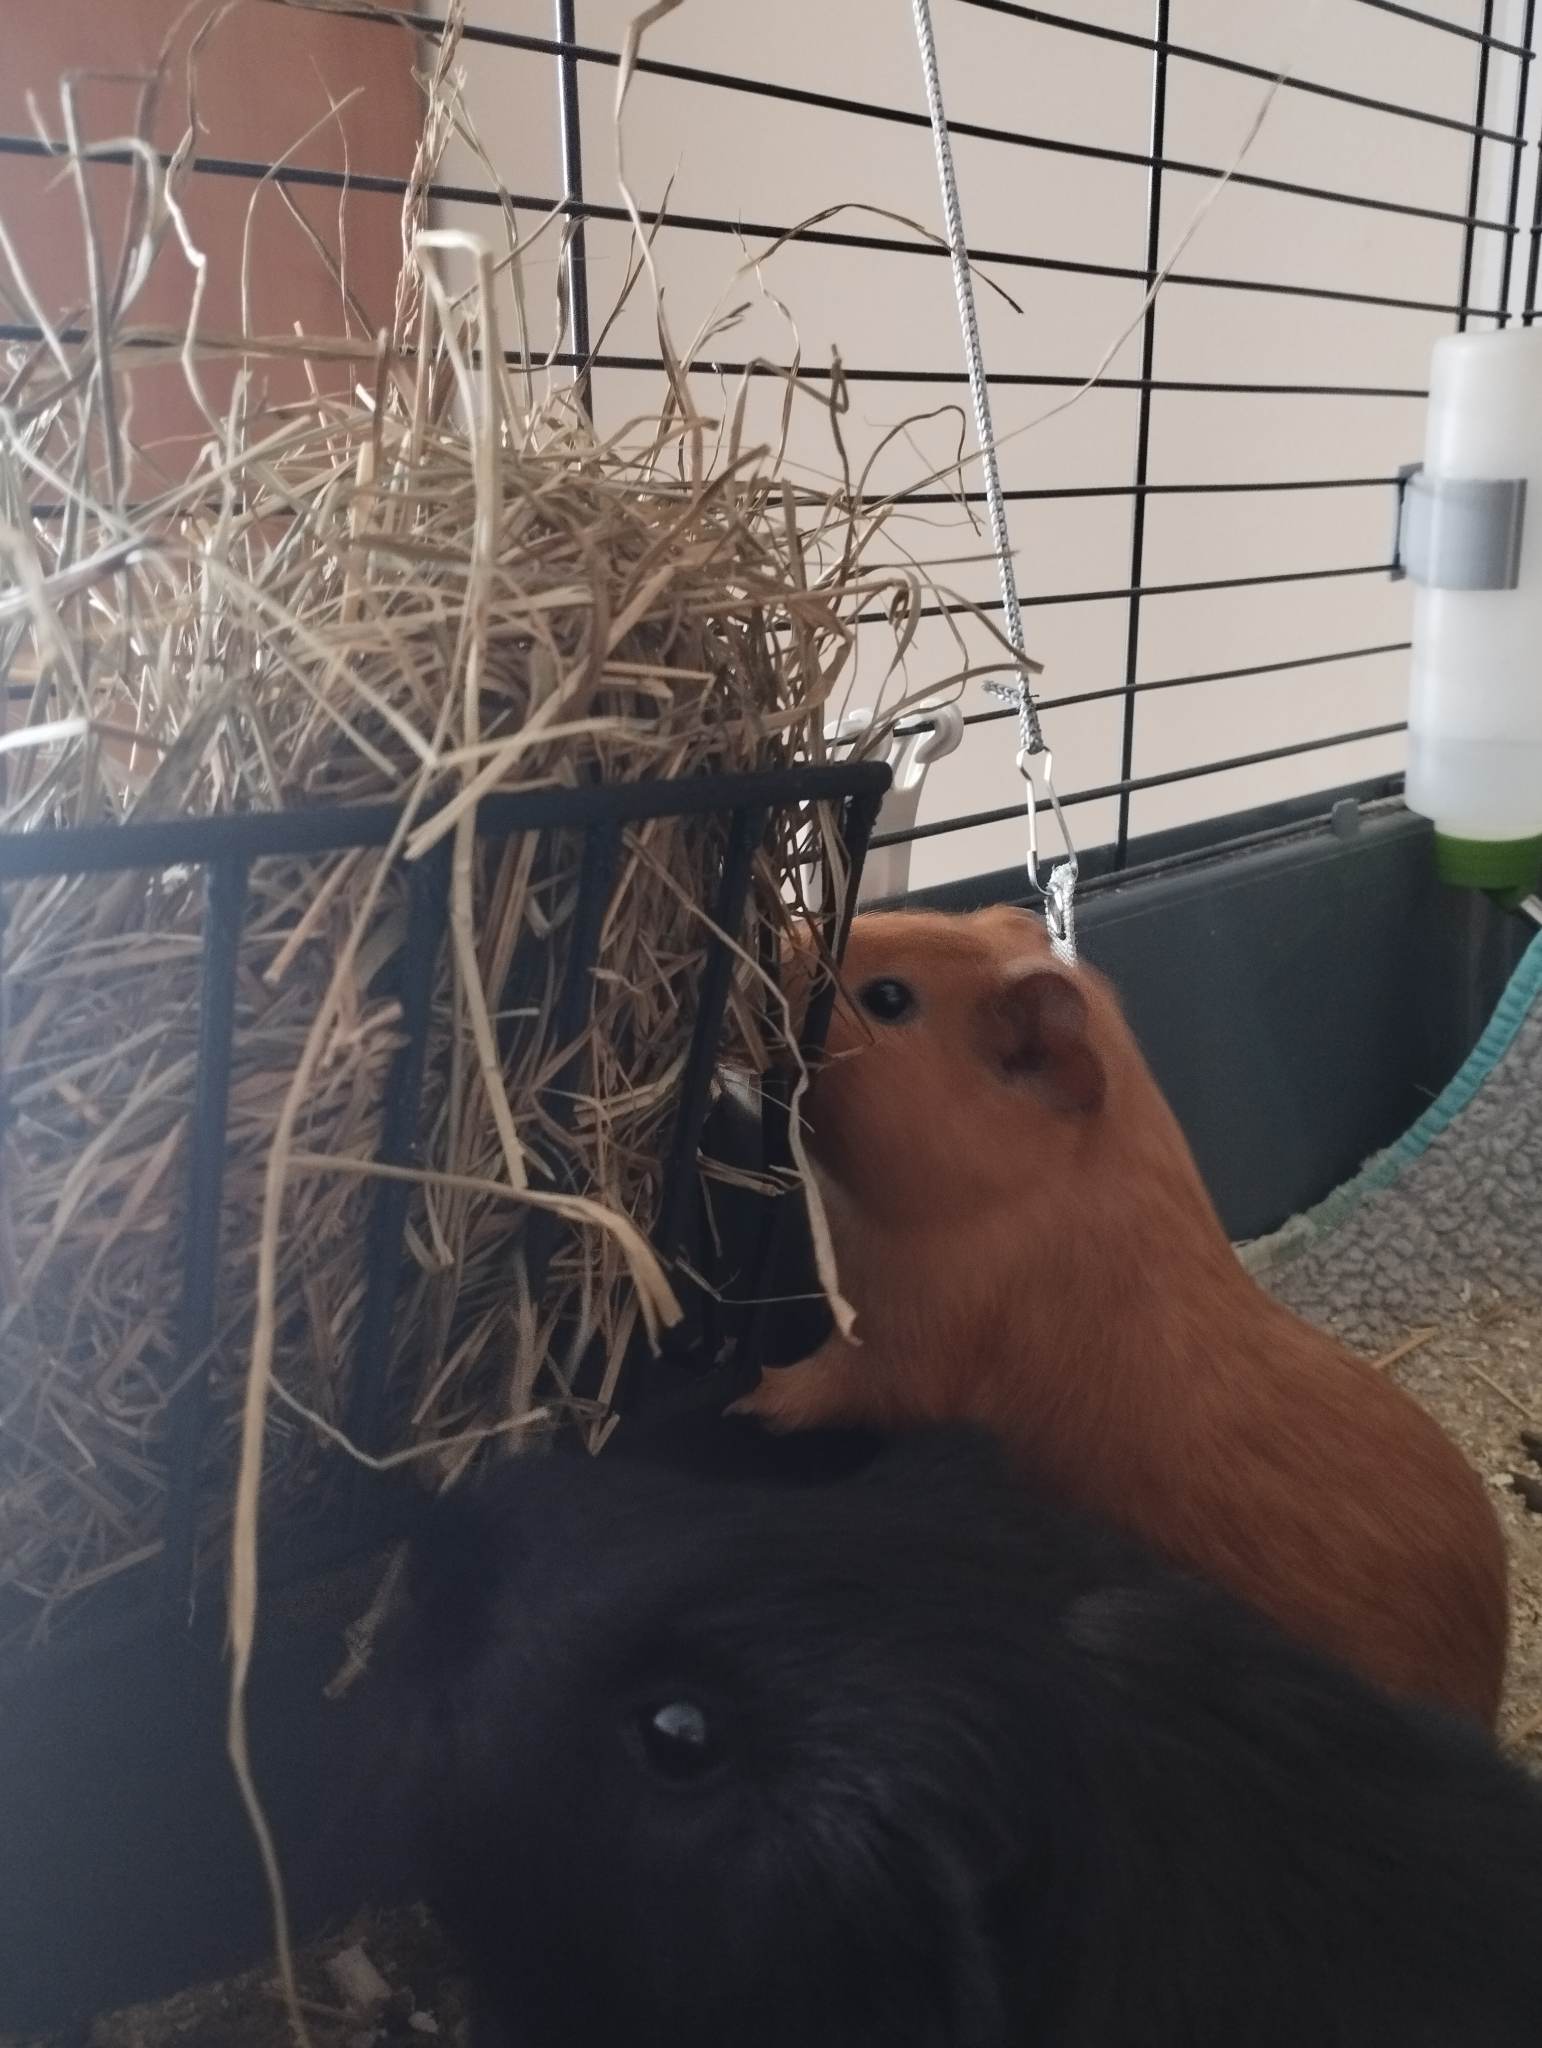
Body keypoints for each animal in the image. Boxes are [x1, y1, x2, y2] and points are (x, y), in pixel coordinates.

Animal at [730, 904, 1509, 1726]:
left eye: (887, 999)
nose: (769, 955)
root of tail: (1490, 1685)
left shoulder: (904, 1347)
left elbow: (819, 1390)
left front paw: (745, 1394)